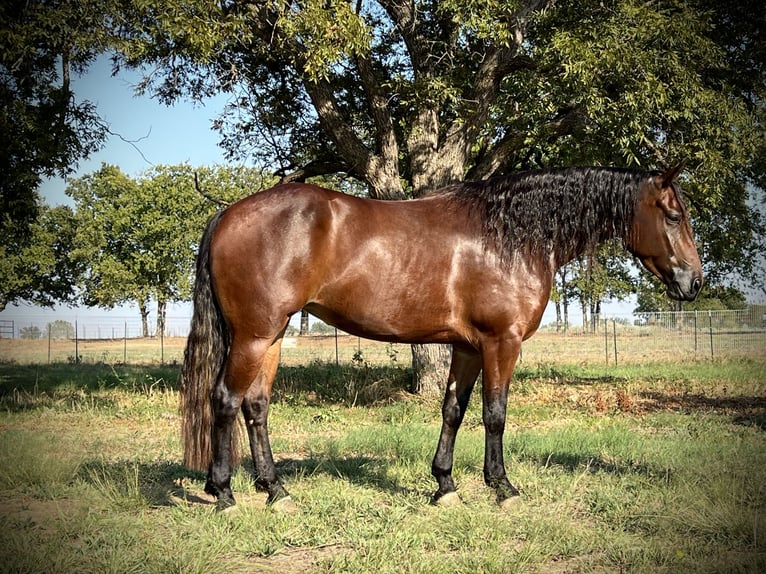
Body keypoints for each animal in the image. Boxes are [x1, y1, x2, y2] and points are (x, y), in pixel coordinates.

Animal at [180, 164, 704, 510]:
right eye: (673, 216)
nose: (694, 282)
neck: (510, 236)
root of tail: (228, 214)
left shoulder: (468, 346)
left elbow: (454, 409)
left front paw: (445, 486)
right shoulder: (501, 342)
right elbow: (495, 414)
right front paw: (503, 487)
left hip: (271, 335)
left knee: (256, 406)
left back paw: (276, 490)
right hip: (253, 335)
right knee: (225, 400)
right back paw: (223, 493)